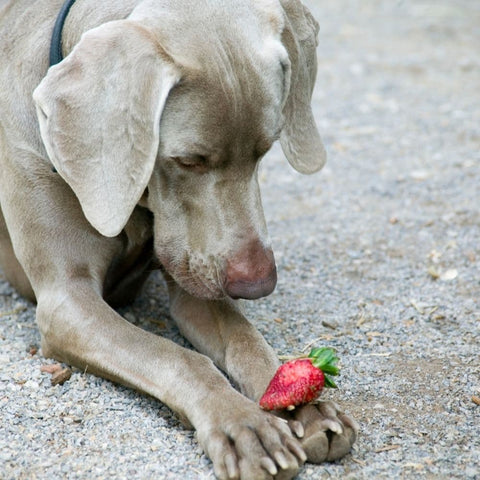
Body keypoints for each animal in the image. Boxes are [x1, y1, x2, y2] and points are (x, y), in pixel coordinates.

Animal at [0, 0, 356, 478]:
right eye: (189, 160)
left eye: (266, 149)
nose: (257, 285)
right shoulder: (67, 304)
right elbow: (178, 357)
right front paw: (243, 422)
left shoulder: (197, 277)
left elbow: (245, 338)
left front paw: (305, 403)